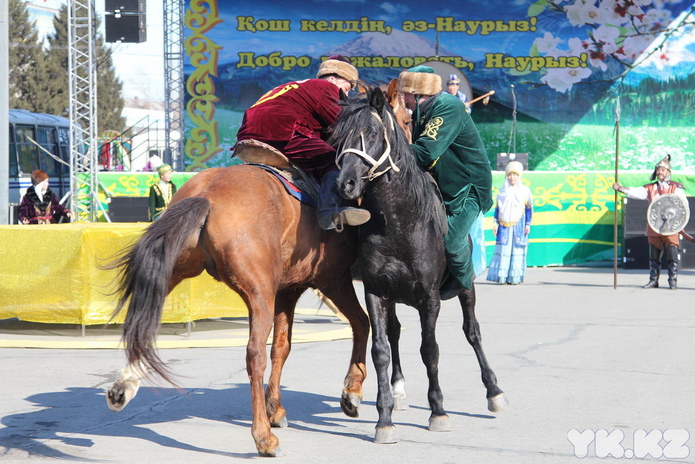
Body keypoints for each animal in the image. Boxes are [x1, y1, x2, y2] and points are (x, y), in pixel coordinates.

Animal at [104, 166, 372, 456]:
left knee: (141, 323)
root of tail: (207, 194)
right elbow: (361, 323)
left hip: (174, 270)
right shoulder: (332, 279)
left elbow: (282, 348)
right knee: (255, 355)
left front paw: (275, 409)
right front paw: (352, 391)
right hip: (260, 295)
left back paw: (123, 386)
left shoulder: (287, 291)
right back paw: (263, 438)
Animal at [332, 85, 506, 444]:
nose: (346, 184)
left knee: (472, 332)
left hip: (466, 286)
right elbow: (381, 350)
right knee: (395, 334)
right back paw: (397, 392)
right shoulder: (376, 293)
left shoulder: (429, 298)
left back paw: (494, 391)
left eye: (372, 133)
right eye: (338, 137)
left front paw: (438, 410)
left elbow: (430, 350)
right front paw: (384, 418)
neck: (398, 222)